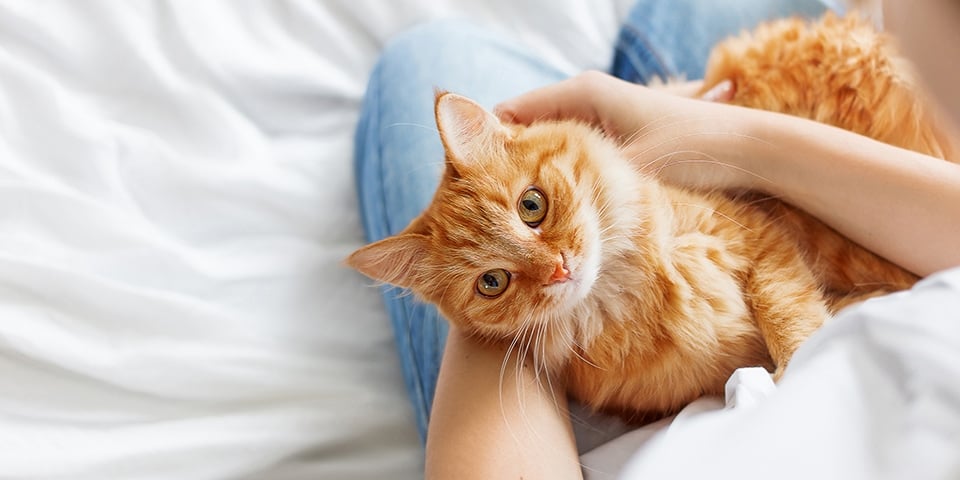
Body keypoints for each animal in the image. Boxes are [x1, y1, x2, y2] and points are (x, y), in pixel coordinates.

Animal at [344, 14, 952, 420]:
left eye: (531, 206)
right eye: (492, 282)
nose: (560, 268)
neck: (629, 288)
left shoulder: (764, 233)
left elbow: (788, 309)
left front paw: (802, 360)